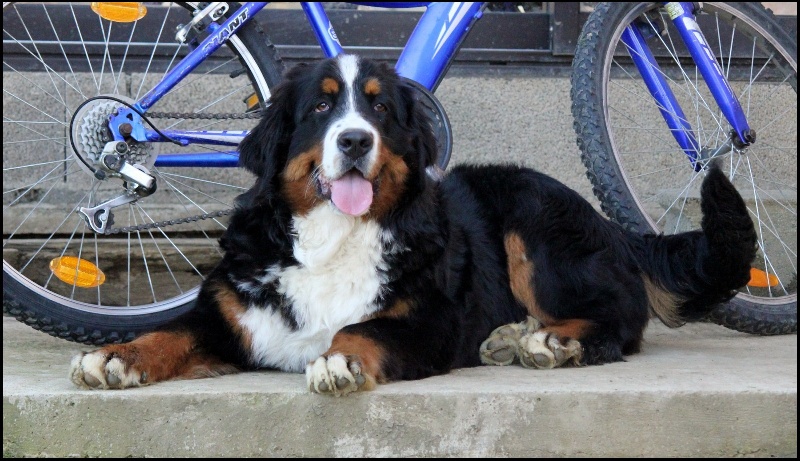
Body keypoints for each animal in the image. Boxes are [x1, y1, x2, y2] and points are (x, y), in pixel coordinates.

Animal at [69, 55, 757, 395]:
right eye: (321, 106)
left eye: (377, 108)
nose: (353, 139)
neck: (332, 236)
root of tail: (611, 225)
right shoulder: (231, 313)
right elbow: (172, 332)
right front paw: (115, 356)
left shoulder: (429, 319)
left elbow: (359, 329)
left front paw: (338, 362)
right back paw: (515, 337)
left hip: (533, 222)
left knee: (619, 322)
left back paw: (547, 343)